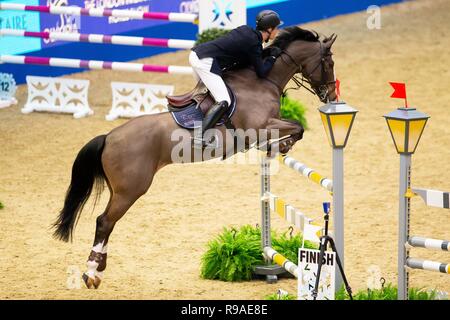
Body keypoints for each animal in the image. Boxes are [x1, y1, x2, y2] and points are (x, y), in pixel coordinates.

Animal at [52, 26, 336, 288]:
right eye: (329, 63)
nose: (331, 95)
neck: (263, 82)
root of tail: (109, 137)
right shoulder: (260, 127)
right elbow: (296, 127)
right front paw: (281, 146)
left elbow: (296, 128)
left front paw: (278, 147)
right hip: (131, 190)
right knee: (104, 222)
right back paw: (92, 273)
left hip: (119, 189)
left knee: (106, 222)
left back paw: (96, 270)